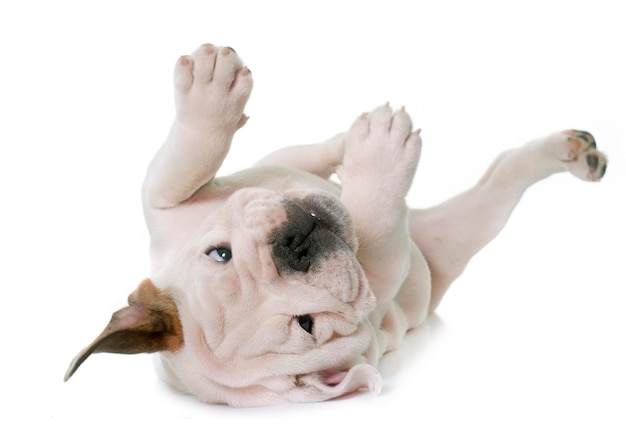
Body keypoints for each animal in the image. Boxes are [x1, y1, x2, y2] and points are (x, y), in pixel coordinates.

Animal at [63, 43, 604, 408]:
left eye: (220, 253)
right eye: (306, 325)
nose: (293, 245)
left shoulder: (163, 210)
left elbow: (179, 168)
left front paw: (210, 93)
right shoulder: (380, 277)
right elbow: (377, 230)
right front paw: (381, 156)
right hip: (463, 231)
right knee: (501, 180)